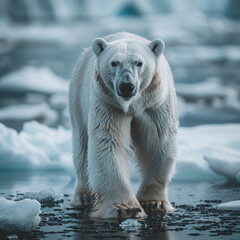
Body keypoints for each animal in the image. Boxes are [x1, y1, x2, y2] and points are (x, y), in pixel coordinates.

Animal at [68, 32, 177, 219]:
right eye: (114, 62)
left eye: (139, 63)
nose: (126, 86)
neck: (133, 104)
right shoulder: (109, 103)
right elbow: (108, 143)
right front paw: (125, 208)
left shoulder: (155, 104)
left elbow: (158, 143)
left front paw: (154, 203)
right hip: (78, 95)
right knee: (81, 146)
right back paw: (84, 196)